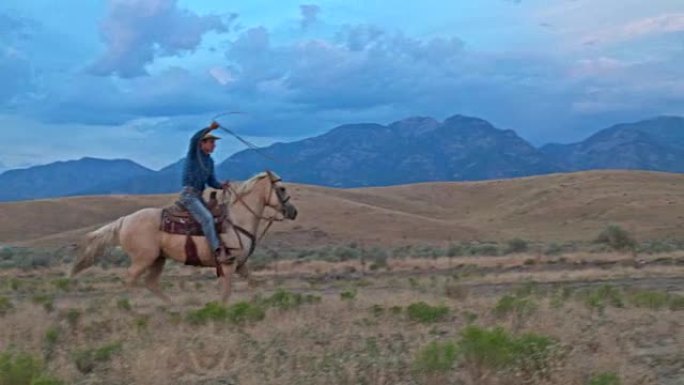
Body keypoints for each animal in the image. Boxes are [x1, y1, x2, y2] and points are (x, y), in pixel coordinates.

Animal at [71, 171, 298, 304]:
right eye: (282, 188)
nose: (293, 211)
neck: (237, 219)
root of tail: (124, 220)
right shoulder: (227, 265)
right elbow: (225, 294)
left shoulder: (240, 265)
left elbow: (252, 285)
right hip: (143, 259)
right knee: (130, 280)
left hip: (158, 259)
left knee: (151, 283)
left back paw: (172, 308)